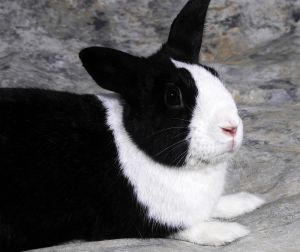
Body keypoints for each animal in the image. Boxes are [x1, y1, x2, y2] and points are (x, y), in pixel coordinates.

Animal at [0, 0, 264, 250]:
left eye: (214, 74)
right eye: (172, 96)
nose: (231, 127)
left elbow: (216, 205)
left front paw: (248, 200)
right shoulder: (136, 220)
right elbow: (183, 227)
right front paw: (229, 232)